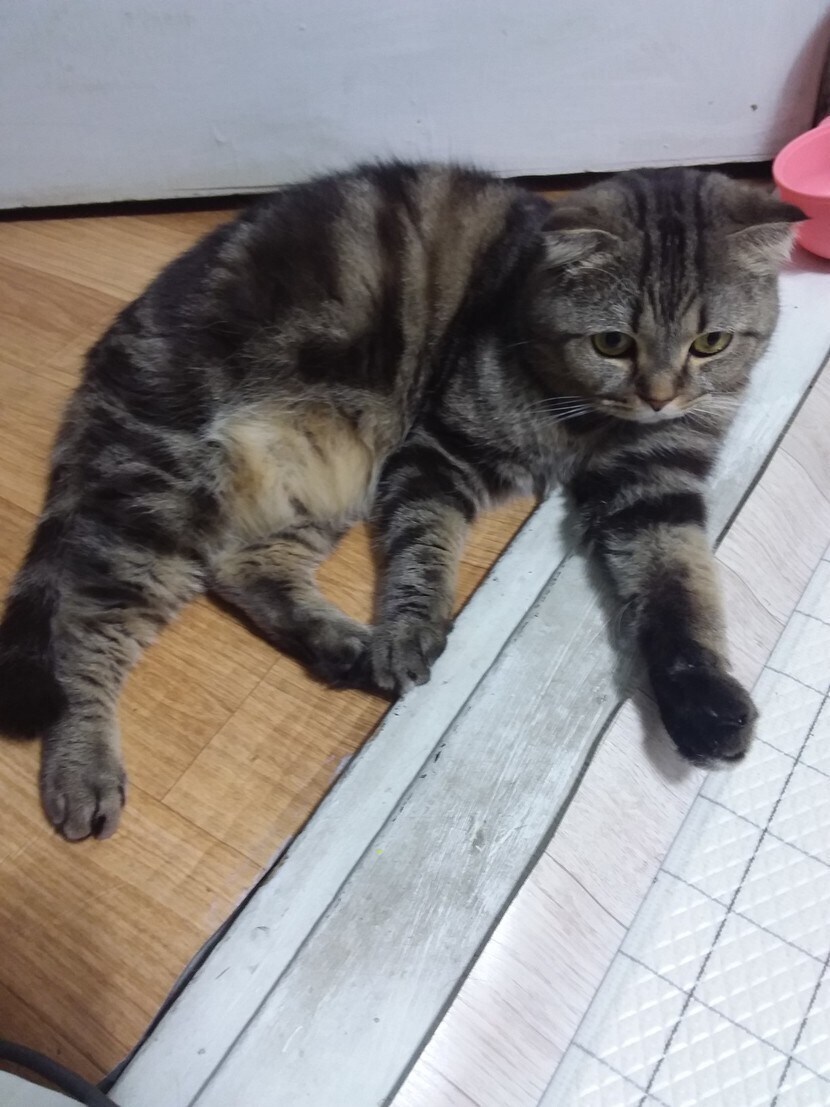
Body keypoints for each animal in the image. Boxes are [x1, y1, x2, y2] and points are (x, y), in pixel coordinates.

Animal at [0, 162, 803, 840]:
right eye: (612, 342)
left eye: (711, 342)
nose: (661, 396)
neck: (588, 419)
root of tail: (119, 340)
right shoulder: (437, 451)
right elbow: (423, 552)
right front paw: (410, 630)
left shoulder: (656, 487)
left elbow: (683, 592)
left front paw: (706, 706)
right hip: (172, 492)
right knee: (84, 631)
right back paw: (83, 768)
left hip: (317, 475)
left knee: (243, 569)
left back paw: (344, 648)